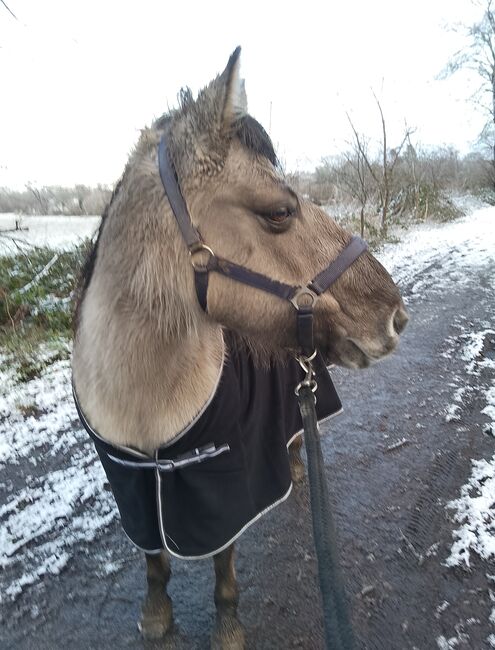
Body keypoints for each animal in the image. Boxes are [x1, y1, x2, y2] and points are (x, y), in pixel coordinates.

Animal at [72, 48, 406, 644]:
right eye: (279, 211)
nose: (395, 315)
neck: (143, 402)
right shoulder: (135, 488)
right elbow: (153, 561)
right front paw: (156, 613)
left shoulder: (221, 487)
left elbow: (222, 562)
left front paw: (227, 625)